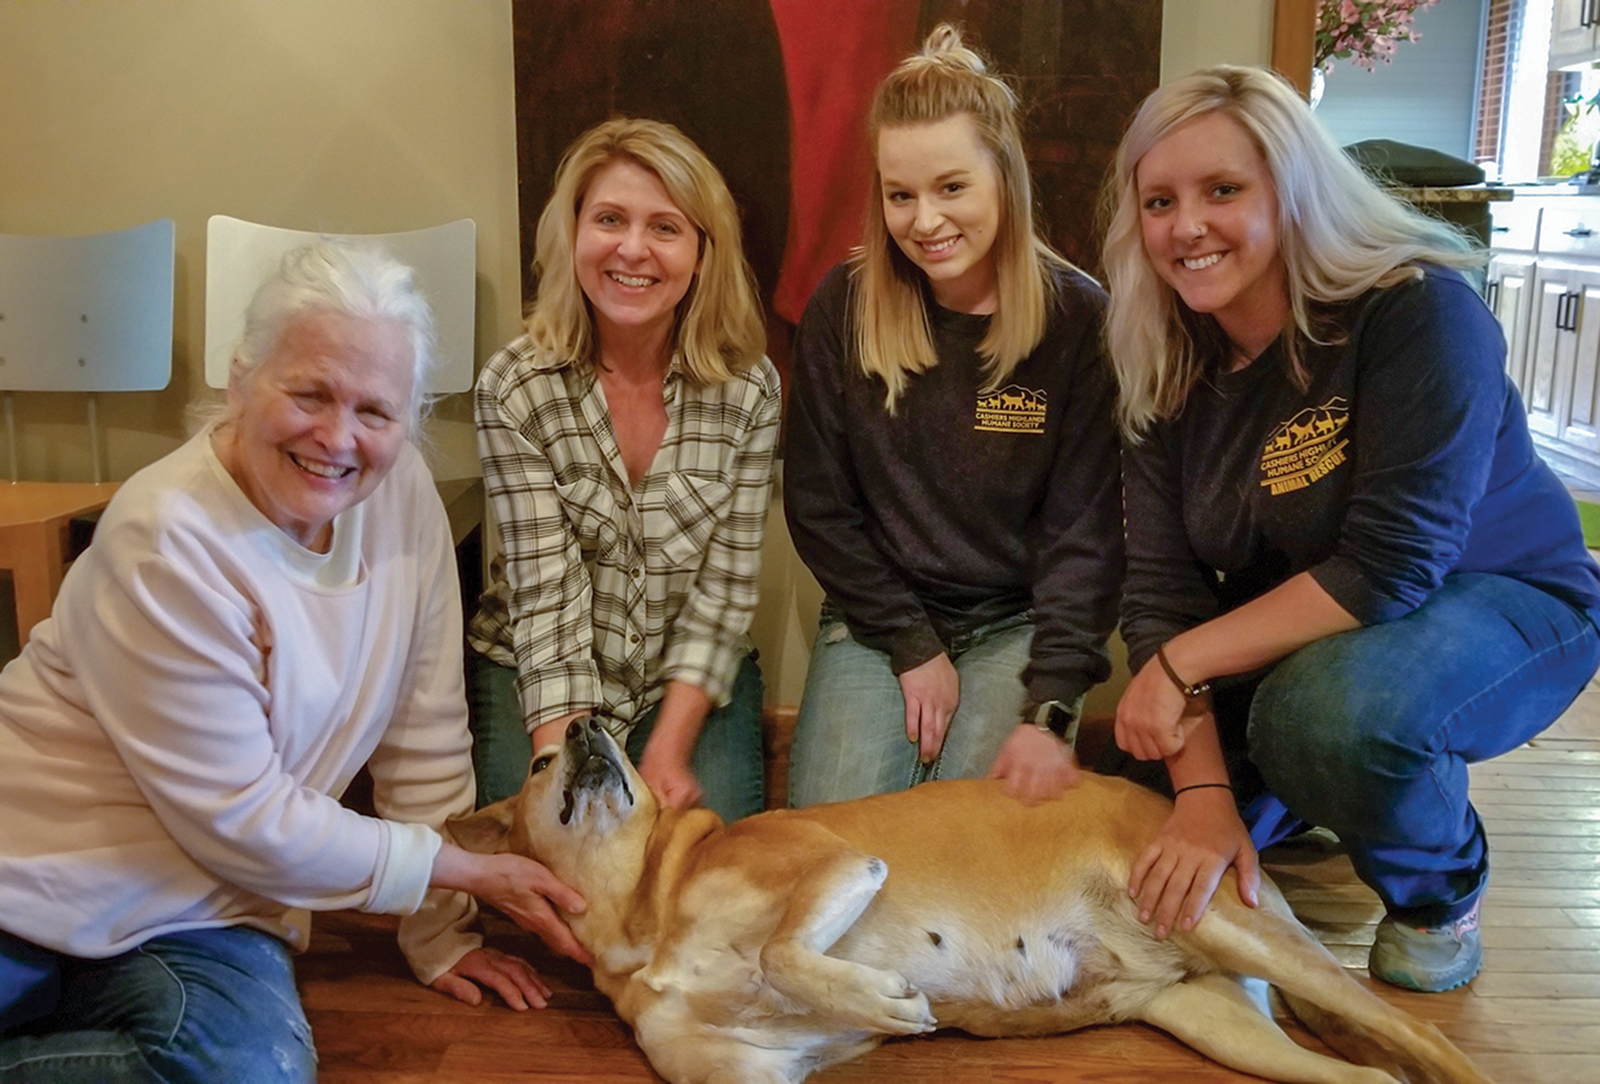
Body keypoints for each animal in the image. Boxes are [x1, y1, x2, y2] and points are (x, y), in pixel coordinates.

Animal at [448, 722, 1484, 1084]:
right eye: (541, 760)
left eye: (619, 730)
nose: (591, 728)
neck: (645, 913)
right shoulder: (744, 1079)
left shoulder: (838, 865)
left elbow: (784, 954)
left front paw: (887, 1002)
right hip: (1213, 1017)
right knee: (1375, 1078)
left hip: (1229, 922)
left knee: (1418, 1039)